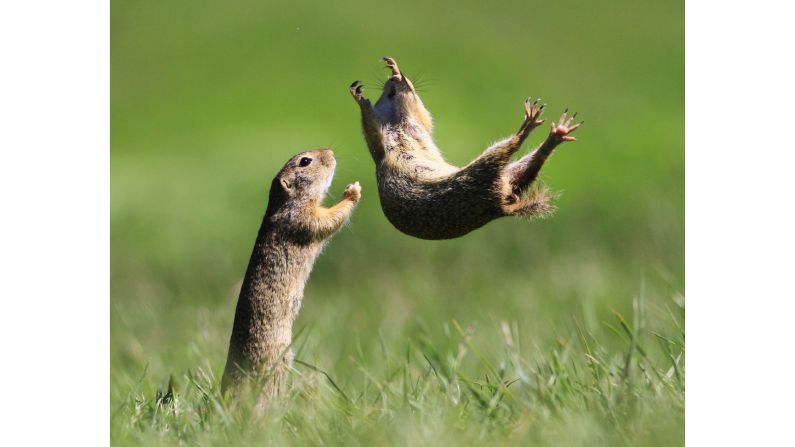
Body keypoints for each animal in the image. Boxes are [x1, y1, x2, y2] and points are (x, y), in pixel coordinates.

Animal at [222, 148, 362, 402]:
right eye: (305, 161)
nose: (331, 152)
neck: (282, 202)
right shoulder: (302, 219)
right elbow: (328, 218)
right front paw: (353, 191)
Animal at [348, 58, 584, 242]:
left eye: (408, 84)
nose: (397, 79)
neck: (398, 123)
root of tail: (498, 206)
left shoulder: (417, 123)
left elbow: (420, 115)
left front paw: (391, 70)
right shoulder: (382, 139)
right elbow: (372, 128)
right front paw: (360, 98)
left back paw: (547, 132)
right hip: (484, 169)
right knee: (516, 152)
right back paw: (538, 130)